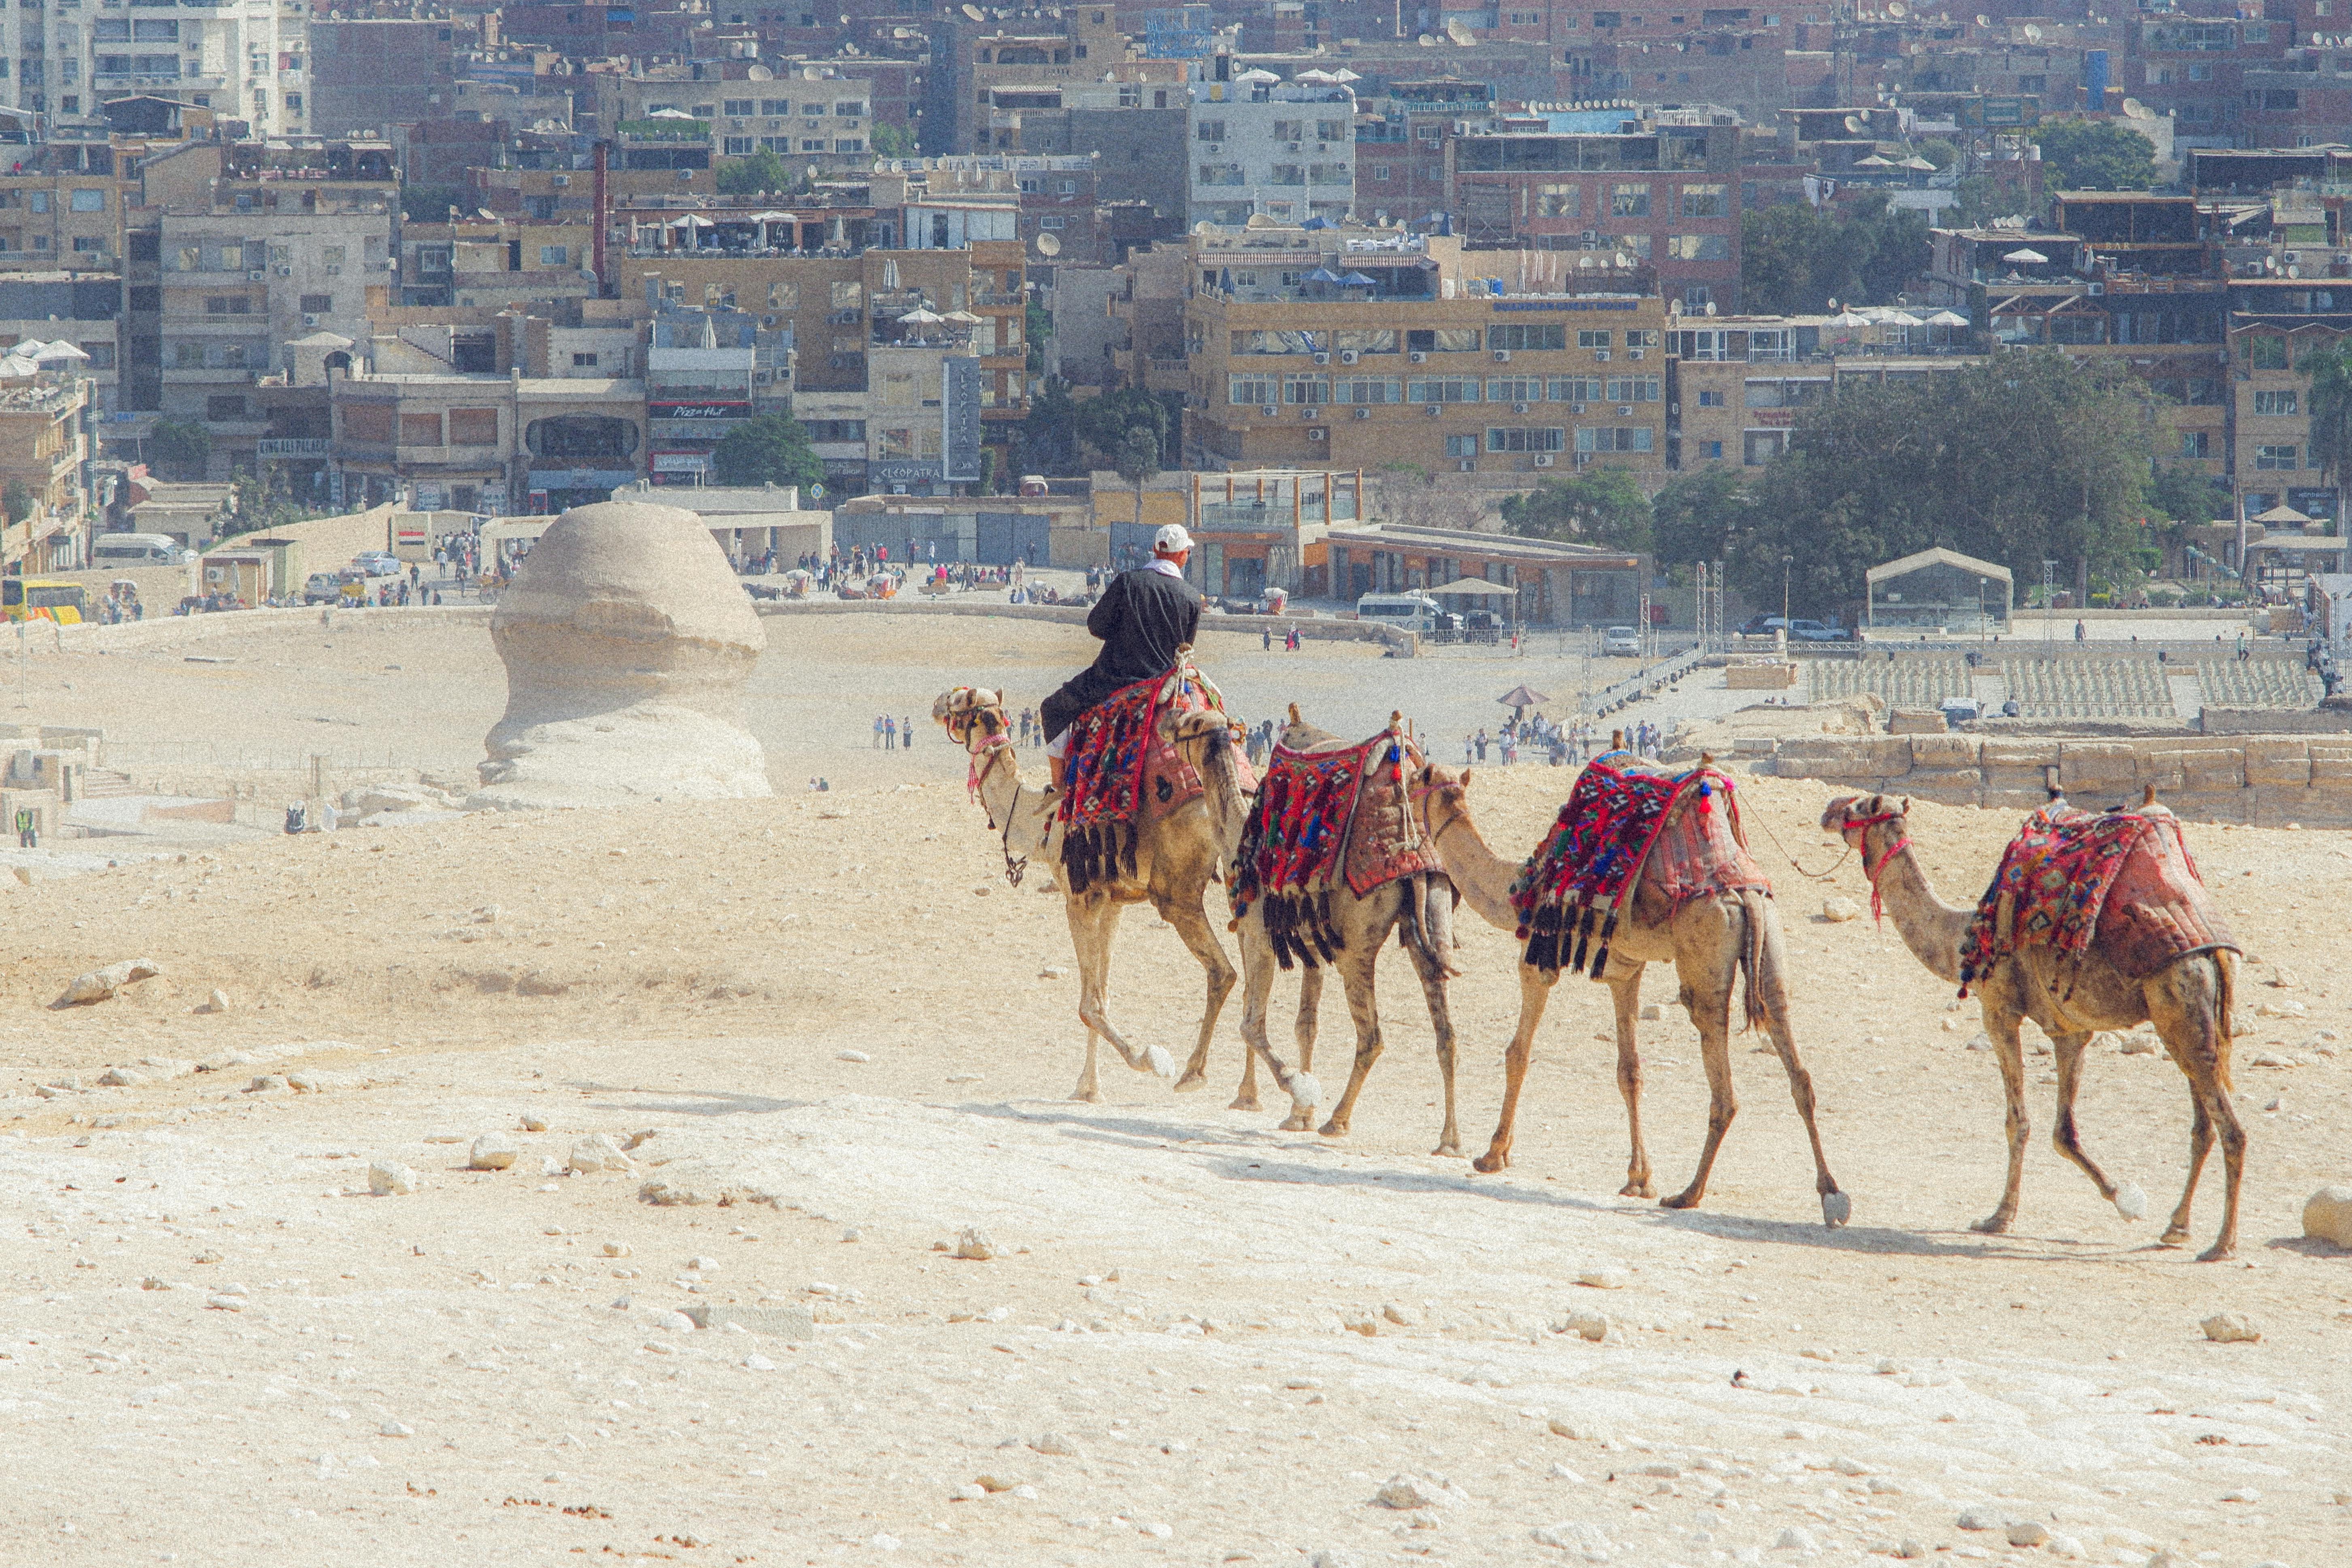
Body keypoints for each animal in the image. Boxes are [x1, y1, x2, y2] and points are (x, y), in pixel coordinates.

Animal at [935, 685, 1261, 1107]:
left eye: (958, 702)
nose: (937, 705)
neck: (1038, 821)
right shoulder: (1112, 900)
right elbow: (1102, 993)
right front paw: (1088, 1088)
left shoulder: (1080, 897)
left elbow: (1088, 1004)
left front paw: (1146, 1059)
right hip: (1240, 877)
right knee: (1252, 980)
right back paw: (1248, 1094)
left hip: (1177, 890)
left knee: (1223, 972)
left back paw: (1192, 1074)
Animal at [1192, 709, 1464, 1155]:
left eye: (1189, 722)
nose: (1167, 726)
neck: (1237, 834)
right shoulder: (1311, 944)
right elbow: (1305, 1024)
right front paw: (1297, 1113)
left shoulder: (1256, 934)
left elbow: (1251, 1020)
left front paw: (1293, 1092)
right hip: (1430, 916)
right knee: (1446, 1033)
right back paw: (1451, 1140)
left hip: (1357, 946)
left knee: (1371, 1036)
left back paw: (1337, 1120)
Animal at [1411, 760, 1849, 1225]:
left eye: (1417, 778)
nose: (1402, 790)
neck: (1517, 886)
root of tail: (1743, 894)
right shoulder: (1624, 971)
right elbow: (1630, 1072)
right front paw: (1639, 1179)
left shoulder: (1539, 955)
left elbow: (1518, 1054)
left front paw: (1492, 1155)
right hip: (1770, 938)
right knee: (1794, 1056)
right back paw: (1831, 1193)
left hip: (1707, 951)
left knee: (1722, 1080)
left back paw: (1688, 1194)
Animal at [1821, 791, 2243, 1260]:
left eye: (1857, 807)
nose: (1828, 809)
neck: (1961, 936)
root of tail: (2212, 950)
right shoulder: (2070, 1031)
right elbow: (2064, 1132)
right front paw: (2122, 1198)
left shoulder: (1998, 1009)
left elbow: (2017, 1121)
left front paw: (1998, 1217)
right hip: (2195, 1021)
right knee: (2204, 1124)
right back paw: (2177, 1227)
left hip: (2181, 1005)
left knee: (2231, 1128)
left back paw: (2222, 1244)